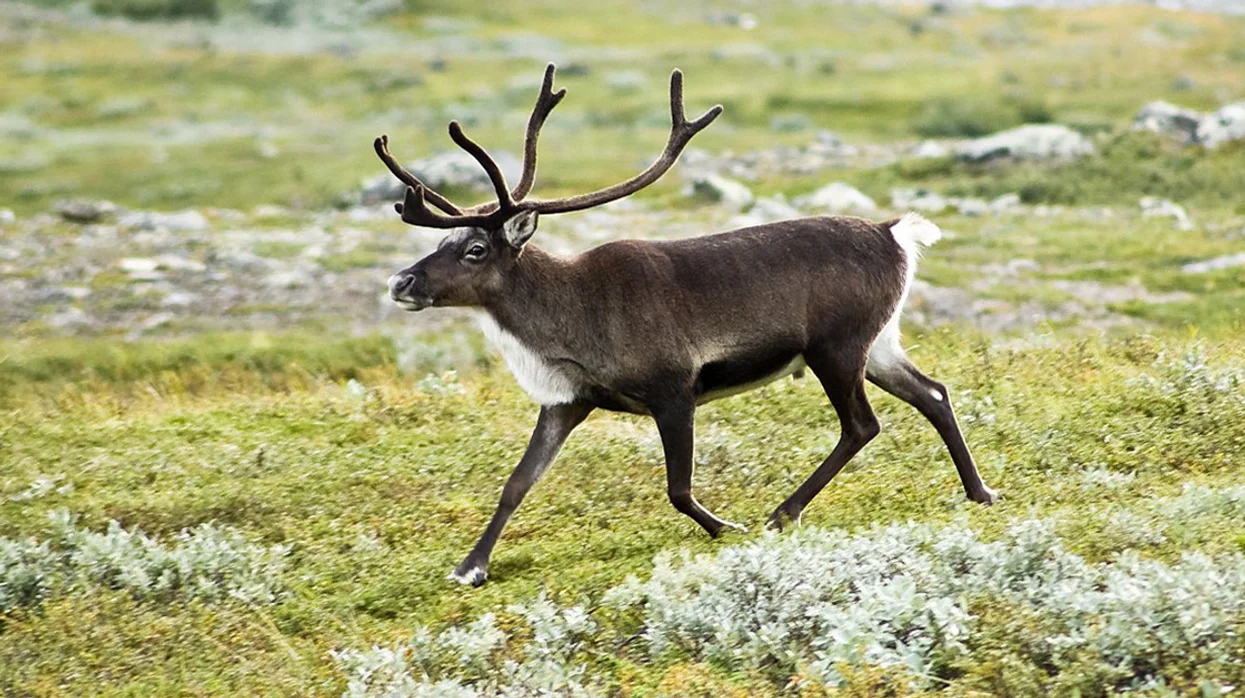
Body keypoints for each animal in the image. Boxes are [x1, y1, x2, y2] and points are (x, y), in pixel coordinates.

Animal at [378, 64, 998, 586]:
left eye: (475, 249)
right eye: (445, 242)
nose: (401, 282)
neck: (569, 317)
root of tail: (895, 234)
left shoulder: (673, 389)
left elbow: (678, 488)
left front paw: (728, 527)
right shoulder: (568, 400)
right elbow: (515, 483)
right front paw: (470, 567)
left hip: (836, 347)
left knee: (862, 425)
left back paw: (783, 512)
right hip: (879, 344)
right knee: (934, 394)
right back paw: (979, 492)